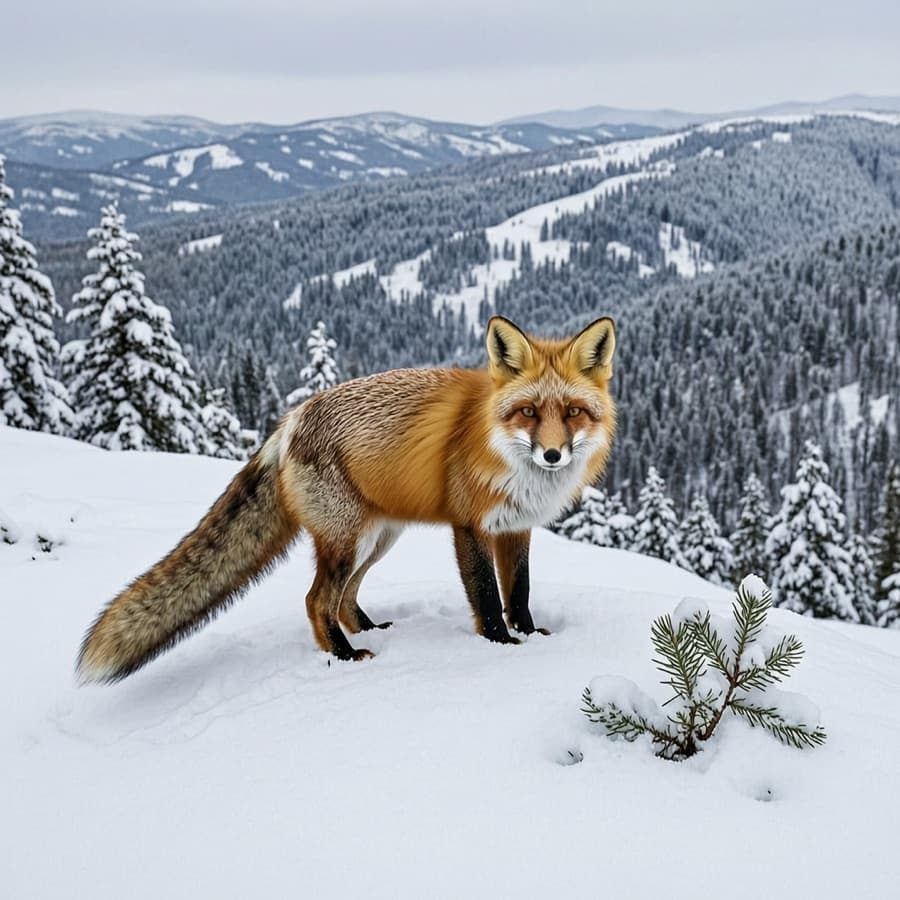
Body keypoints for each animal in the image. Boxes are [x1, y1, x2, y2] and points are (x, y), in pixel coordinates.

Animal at [76, 315, 617, 683]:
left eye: (573, 412)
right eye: (528, 411)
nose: (552, 455)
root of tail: (289, 421)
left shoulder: (516, 527)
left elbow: (518, 592)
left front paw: (532, 635)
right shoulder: (471, 527)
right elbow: (487, 597)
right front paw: (503, 649)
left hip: (377, 538)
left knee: (345, 598)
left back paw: (370, 632)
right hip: (348, 539)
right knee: (318, 600)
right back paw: (344, 655)